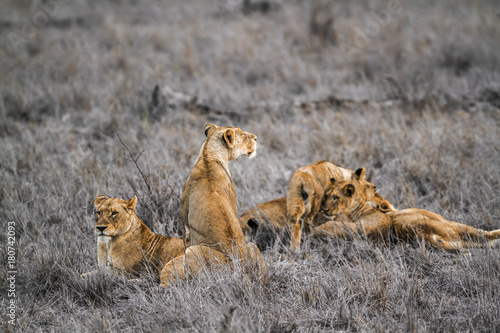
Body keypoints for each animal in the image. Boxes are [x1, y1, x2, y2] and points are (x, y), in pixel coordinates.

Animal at [161, 122, 268, 286]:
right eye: (242, 134)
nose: (256, 138)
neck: (208, 156)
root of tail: (241, 270)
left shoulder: (185, 225)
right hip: (251, 246)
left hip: (195, 253)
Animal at [316, 176, 500, 249]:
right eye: (326, 196)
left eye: (334, 197)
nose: (323, 209)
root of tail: (421, 235)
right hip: (451, 228)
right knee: (481, 238)